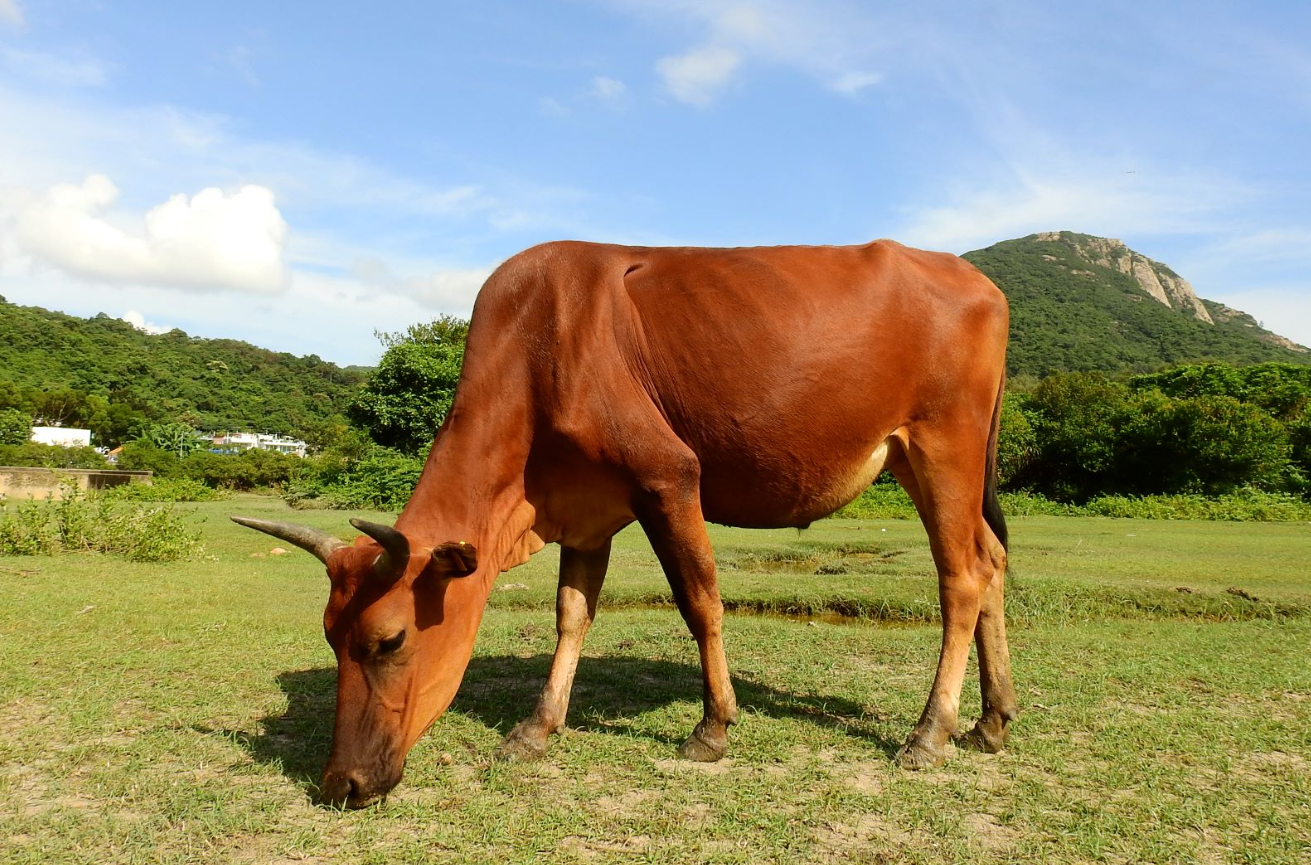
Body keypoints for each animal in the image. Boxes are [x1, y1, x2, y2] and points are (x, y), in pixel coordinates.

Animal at [235, 234, 1012, 802]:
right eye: (330, 637)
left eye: (389, 640)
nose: (342, 782)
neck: (536, 344)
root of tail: (976, 277)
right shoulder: (586, 512)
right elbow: (571, 613)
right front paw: (537, 726)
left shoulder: (668, 476)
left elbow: (700, 601)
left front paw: (712, 726)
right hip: (924, 460)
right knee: (993, 561)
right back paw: (991, 719)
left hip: (943, 445)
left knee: (961, 577)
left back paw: (929, 733)